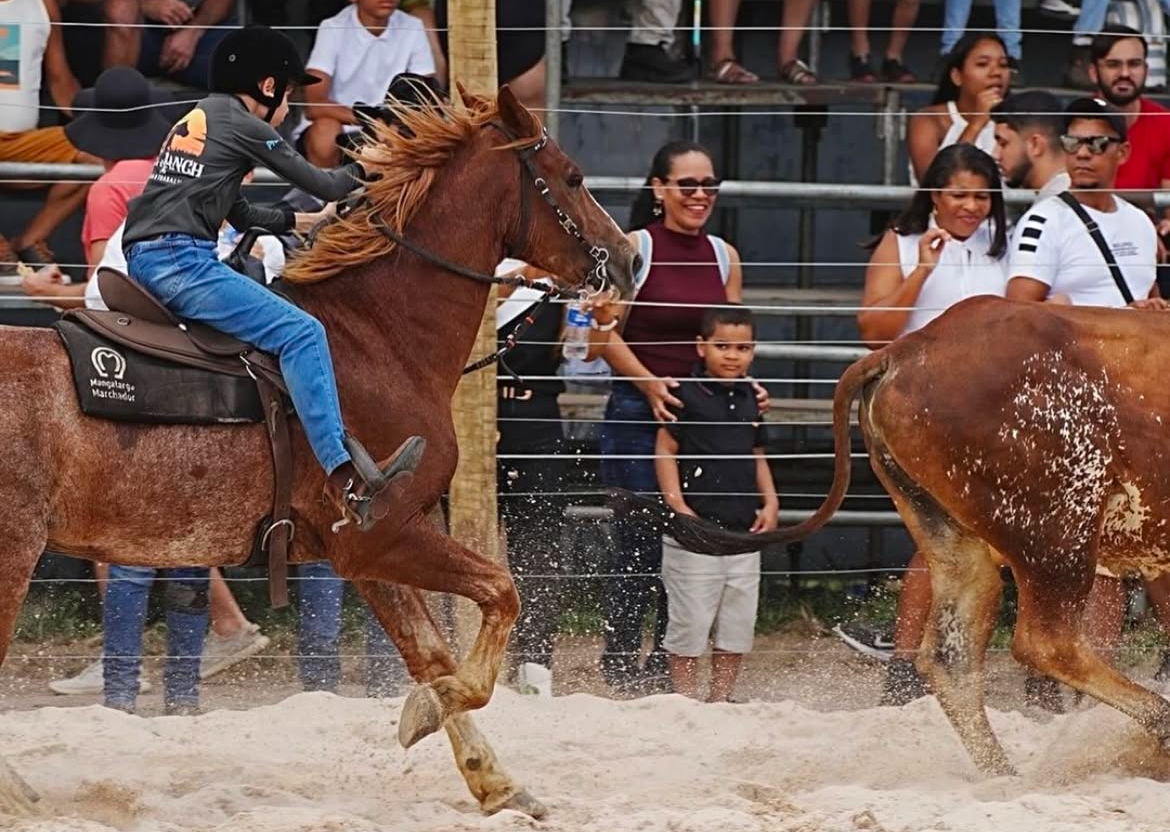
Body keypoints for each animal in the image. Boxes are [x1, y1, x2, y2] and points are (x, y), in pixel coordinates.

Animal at [0, 87, 636, 819]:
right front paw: (423, 714)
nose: (628, 259)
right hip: (13, 554)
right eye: (572, 178)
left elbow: (431, 653)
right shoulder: (380, 537)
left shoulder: (372, 549)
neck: (376, 338)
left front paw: (496, 783)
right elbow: (497, 602)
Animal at [622, 292, 1170, 772]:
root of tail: (909, 348)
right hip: (1058, 529)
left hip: (957, 540)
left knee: (952, 656)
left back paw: (1005, 776)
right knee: (1047, 641)